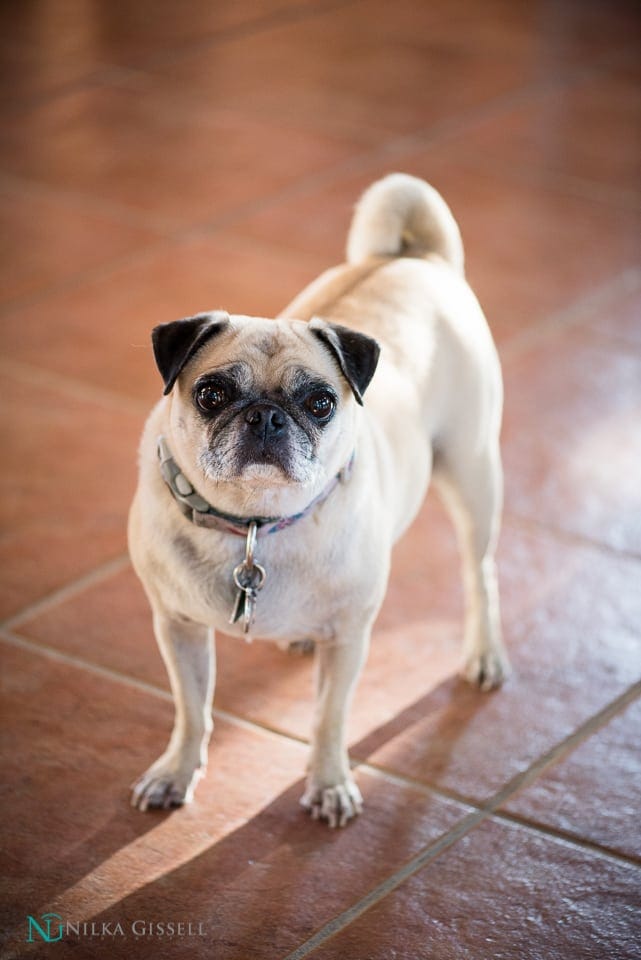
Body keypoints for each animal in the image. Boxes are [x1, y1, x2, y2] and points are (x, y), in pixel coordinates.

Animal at [129, 172, 510, 824]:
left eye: (321, 403)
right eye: (210, 394)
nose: (266, 417)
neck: (255, 524)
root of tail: (416, 258)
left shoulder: (349, 641)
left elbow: (329, 719)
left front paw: (329, 782)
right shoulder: (177, 628)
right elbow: (192, 711)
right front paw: (176, 772)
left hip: (473, 471)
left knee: (478, 571)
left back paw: (483, 653)